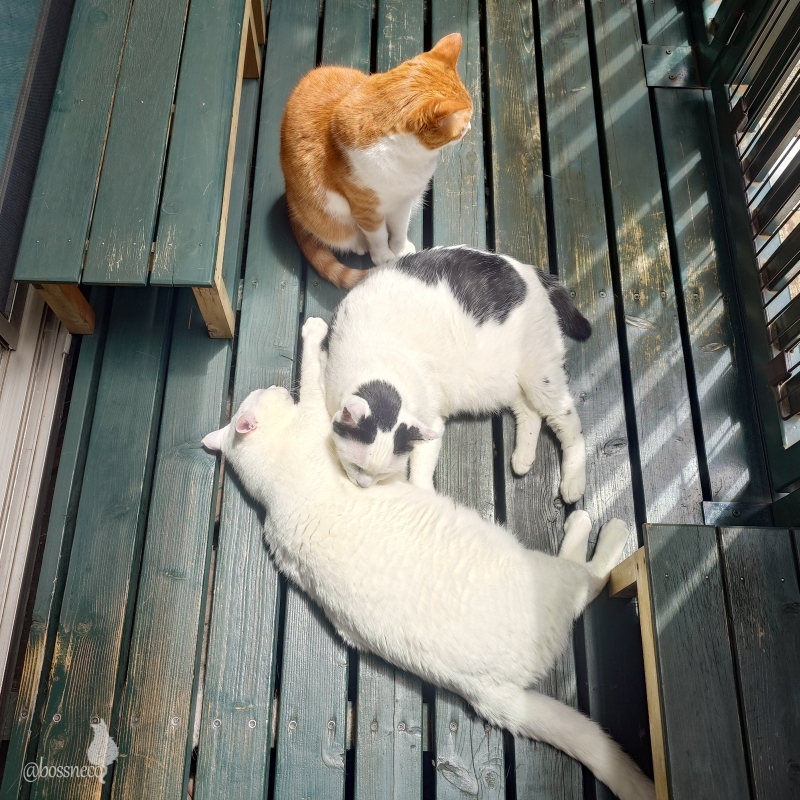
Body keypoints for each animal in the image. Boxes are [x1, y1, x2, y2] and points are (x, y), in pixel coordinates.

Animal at [202, 317, 654, 800]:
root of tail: (493, 694)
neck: (270, 484)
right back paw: (595, 528)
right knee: (589, 579)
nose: (272, 386)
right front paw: (313, 333)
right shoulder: (315, 414)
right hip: (547, 572)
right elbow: (312, 375)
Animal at [280, 33, 472, 289]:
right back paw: (360, 244)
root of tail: (290, 202)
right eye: (464, 123)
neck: (409, 160)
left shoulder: (404, 200)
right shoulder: (366, 210)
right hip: (330, 218)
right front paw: (383, 257)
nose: (470, 128)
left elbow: (399, 228)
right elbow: (378, 236)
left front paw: (400, 249)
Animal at [321, 246, 591, 501]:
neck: (384, 363)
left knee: (569, 421)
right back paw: (522, 459)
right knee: (529, 411)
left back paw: (573, 482)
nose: (362, 485)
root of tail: (529, 270)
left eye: (382, 474)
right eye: (356, 466)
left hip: (539, 375)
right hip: (506, 381)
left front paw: (424, 495)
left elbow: (421, 468)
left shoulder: (431, 421)